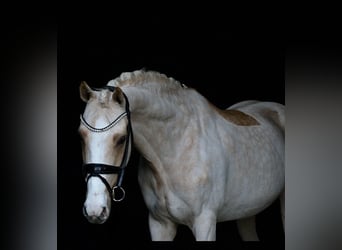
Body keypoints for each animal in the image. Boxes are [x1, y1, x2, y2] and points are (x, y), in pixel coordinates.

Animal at [79, 70, 284, 240]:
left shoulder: (205, 223)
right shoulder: (160, 224)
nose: (94, 209)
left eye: (121, 139)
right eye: (81, 135)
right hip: (248, 212)